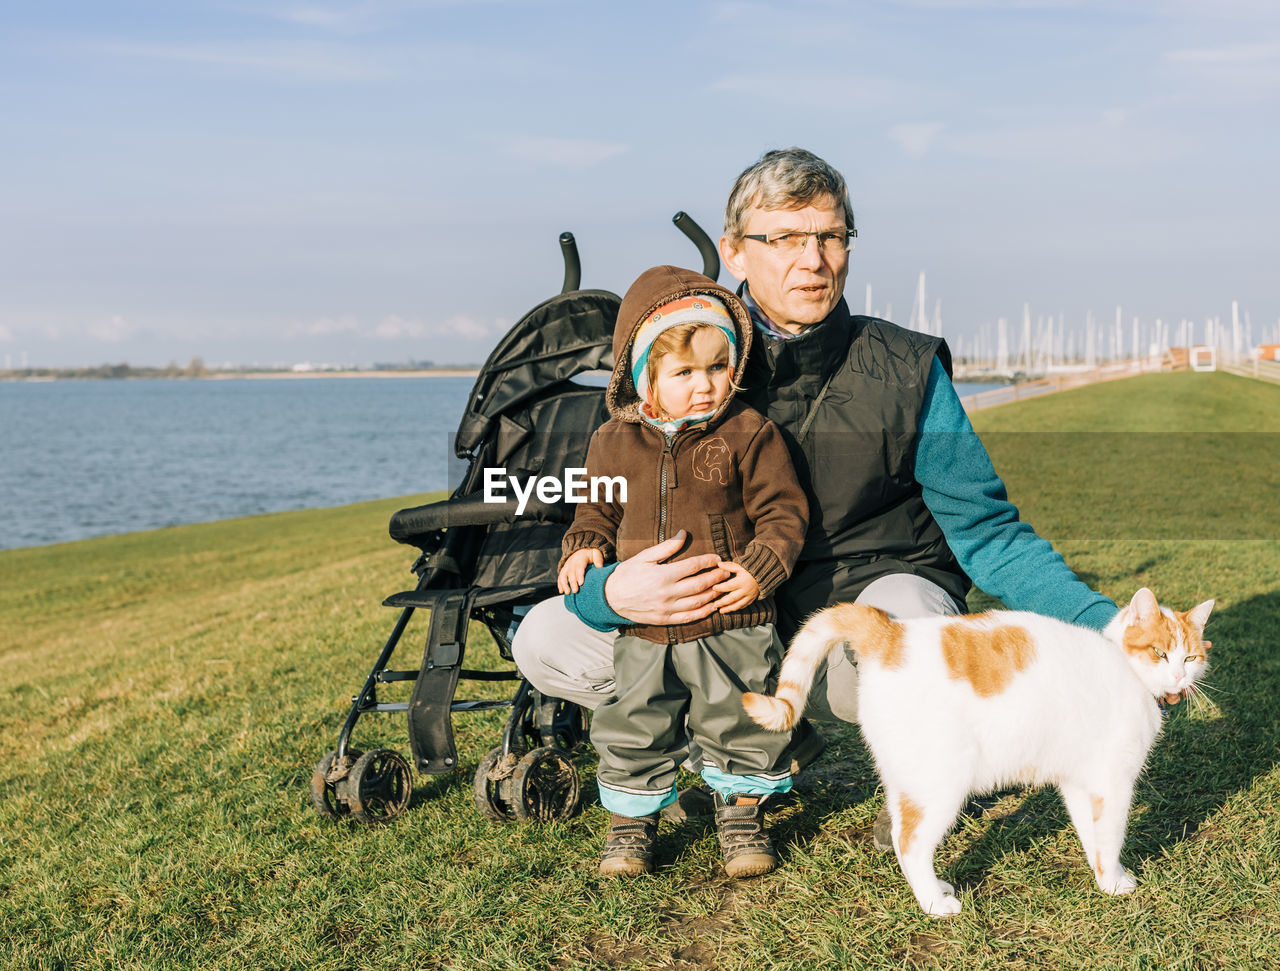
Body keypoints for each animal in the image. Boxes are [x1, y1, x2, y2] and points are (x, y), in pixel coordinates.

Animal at [742, 588, 1208, 915]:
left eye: (1191, 657)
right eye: (1160, 652)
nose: (1178, 676)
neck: (1127, 672)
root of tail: (892, 633)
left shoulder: (1081, 782)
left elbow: (1092, 836)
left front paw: (1103, 877)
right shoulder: (1113, 783)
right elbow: (1111, 836)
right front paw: (1116, 883)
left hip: (907, 778)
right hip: (940, 783)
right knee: (909, 844)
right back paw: (935, 904)